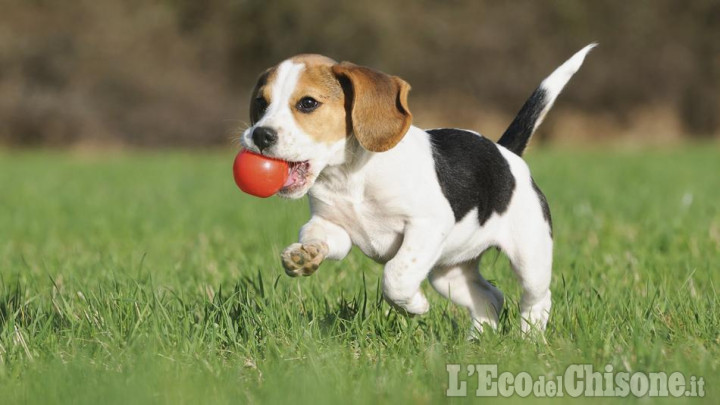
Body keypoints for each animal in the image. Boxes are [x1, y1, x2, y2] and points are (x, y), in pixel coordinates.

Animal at [242, 44, 596, 332]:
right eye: (260, 103)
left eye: (308, 103)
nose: (259, 135)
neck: (349, 176)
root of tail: (505, 152)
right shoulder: (333, 227)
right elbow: (318, 236)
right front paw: (305, 255)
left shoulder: (426, 225)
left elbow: (396, 276)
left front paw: (415, 306)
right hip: (448, 273)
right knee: (490, 298)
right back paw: (478, 341)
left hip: (530, 257)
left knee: (537, 299)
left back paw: (529, 339)